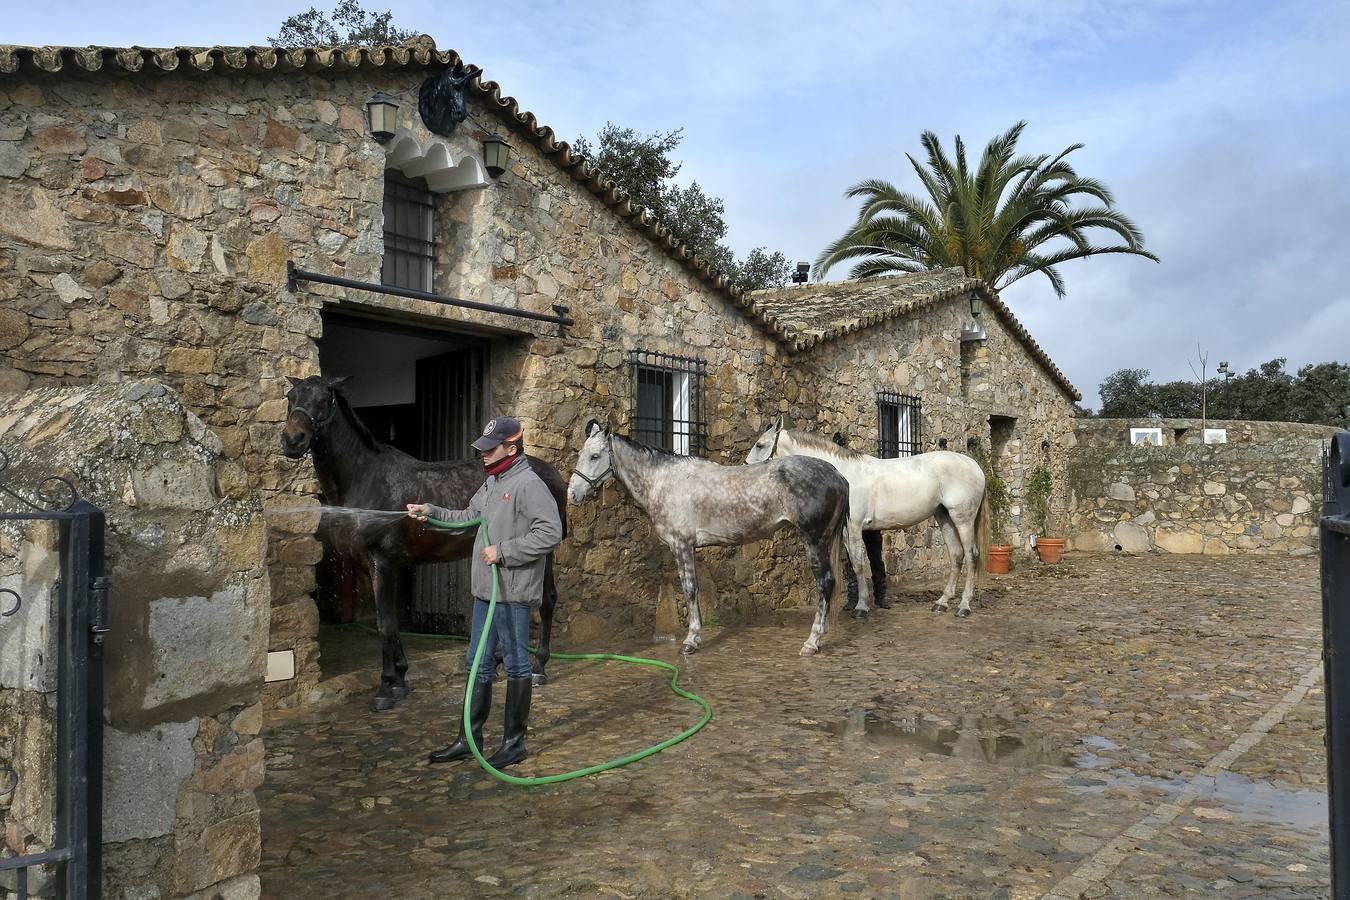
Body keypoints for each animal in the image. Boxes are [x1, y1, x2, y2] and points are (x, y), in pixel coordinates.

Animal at [282, 375, 567, 712]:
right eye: (291, 396)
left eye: (325, 399)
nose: (292, 440)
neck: (367, 478)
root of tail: (551, 473)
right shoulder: (369, 566)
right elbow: (390, 622)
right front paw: (400, 679)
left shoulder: (383, 563)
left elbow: (385, 624)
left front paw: (386, 687)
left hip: (542, 553)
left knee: (546, 600)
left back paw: (538, 669)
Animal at [572, 418, 847, 658]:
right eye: (581, 453)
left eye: (595, 456)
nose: (573, 493)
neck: (664, 481)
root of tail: (836, 474)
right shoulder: (688, 547)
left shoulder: (681, 545)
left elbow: (689, 589)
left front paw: (691, 640)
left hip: (814, 540)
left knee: (825, 582)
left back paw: (811, 642)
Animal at [745, 418, 988, 615]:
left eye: (760, 445)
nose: (746, 468)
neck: (844, 474)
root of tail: (974, 466)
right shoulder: (845, 530)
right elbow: (854, 565)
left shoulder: (854, 527)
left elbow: (858, 563)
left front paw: (862, 607)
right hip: (944, 517)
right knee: (956, 555)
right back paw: (942, 603)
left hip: (963, 519)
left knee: (971, 555)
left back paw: (964, 606)